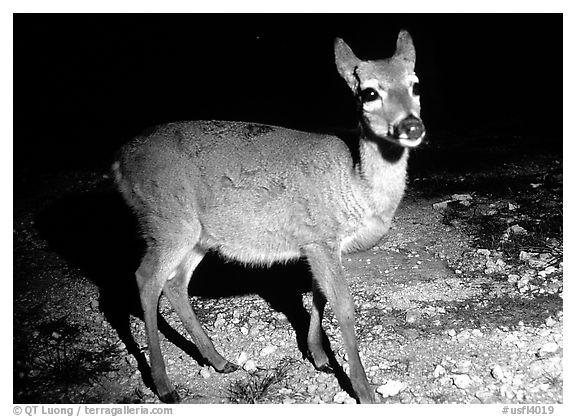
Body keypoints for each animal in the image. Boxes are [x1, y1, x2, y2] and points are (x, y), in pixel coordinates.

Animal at [112, 30, 426, 404]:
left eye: (415, 85)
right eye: (369, 92)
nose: (412, 126)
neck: (354, 182)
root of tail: (119, 163)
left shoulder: (316, 244)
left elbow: (319, 297)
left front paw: (318, 357)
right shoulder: (320, 236)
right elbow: (344, 306)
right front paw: (363, 390)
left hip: (198, 235)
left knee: (175, 284)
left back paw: (220, 361)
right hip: (167, 221)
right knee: (146, 280)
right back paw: (164, 385)